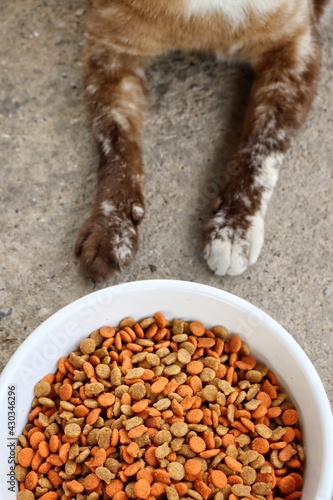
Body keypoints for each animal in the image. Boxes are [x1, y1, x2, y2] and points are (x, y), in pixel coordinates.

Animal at [74, 0, 330, 282]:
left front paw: (232, 231)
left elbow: (263, 149)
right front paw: (112, 233)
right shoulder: (108, 52)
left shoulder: (296, 47)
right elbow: (117, 149)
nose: (233, 231)